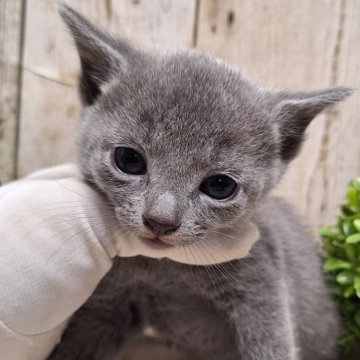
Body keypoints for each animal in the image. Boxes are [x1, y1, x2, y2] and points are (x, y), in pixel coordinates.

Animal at [49, 4, 352, 360]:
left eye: (219, 186)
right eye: (129, 160)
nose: (161, 220)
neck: (167, 270)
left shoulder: (262, 282)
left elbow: (272, 340)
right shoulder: (110, 301)